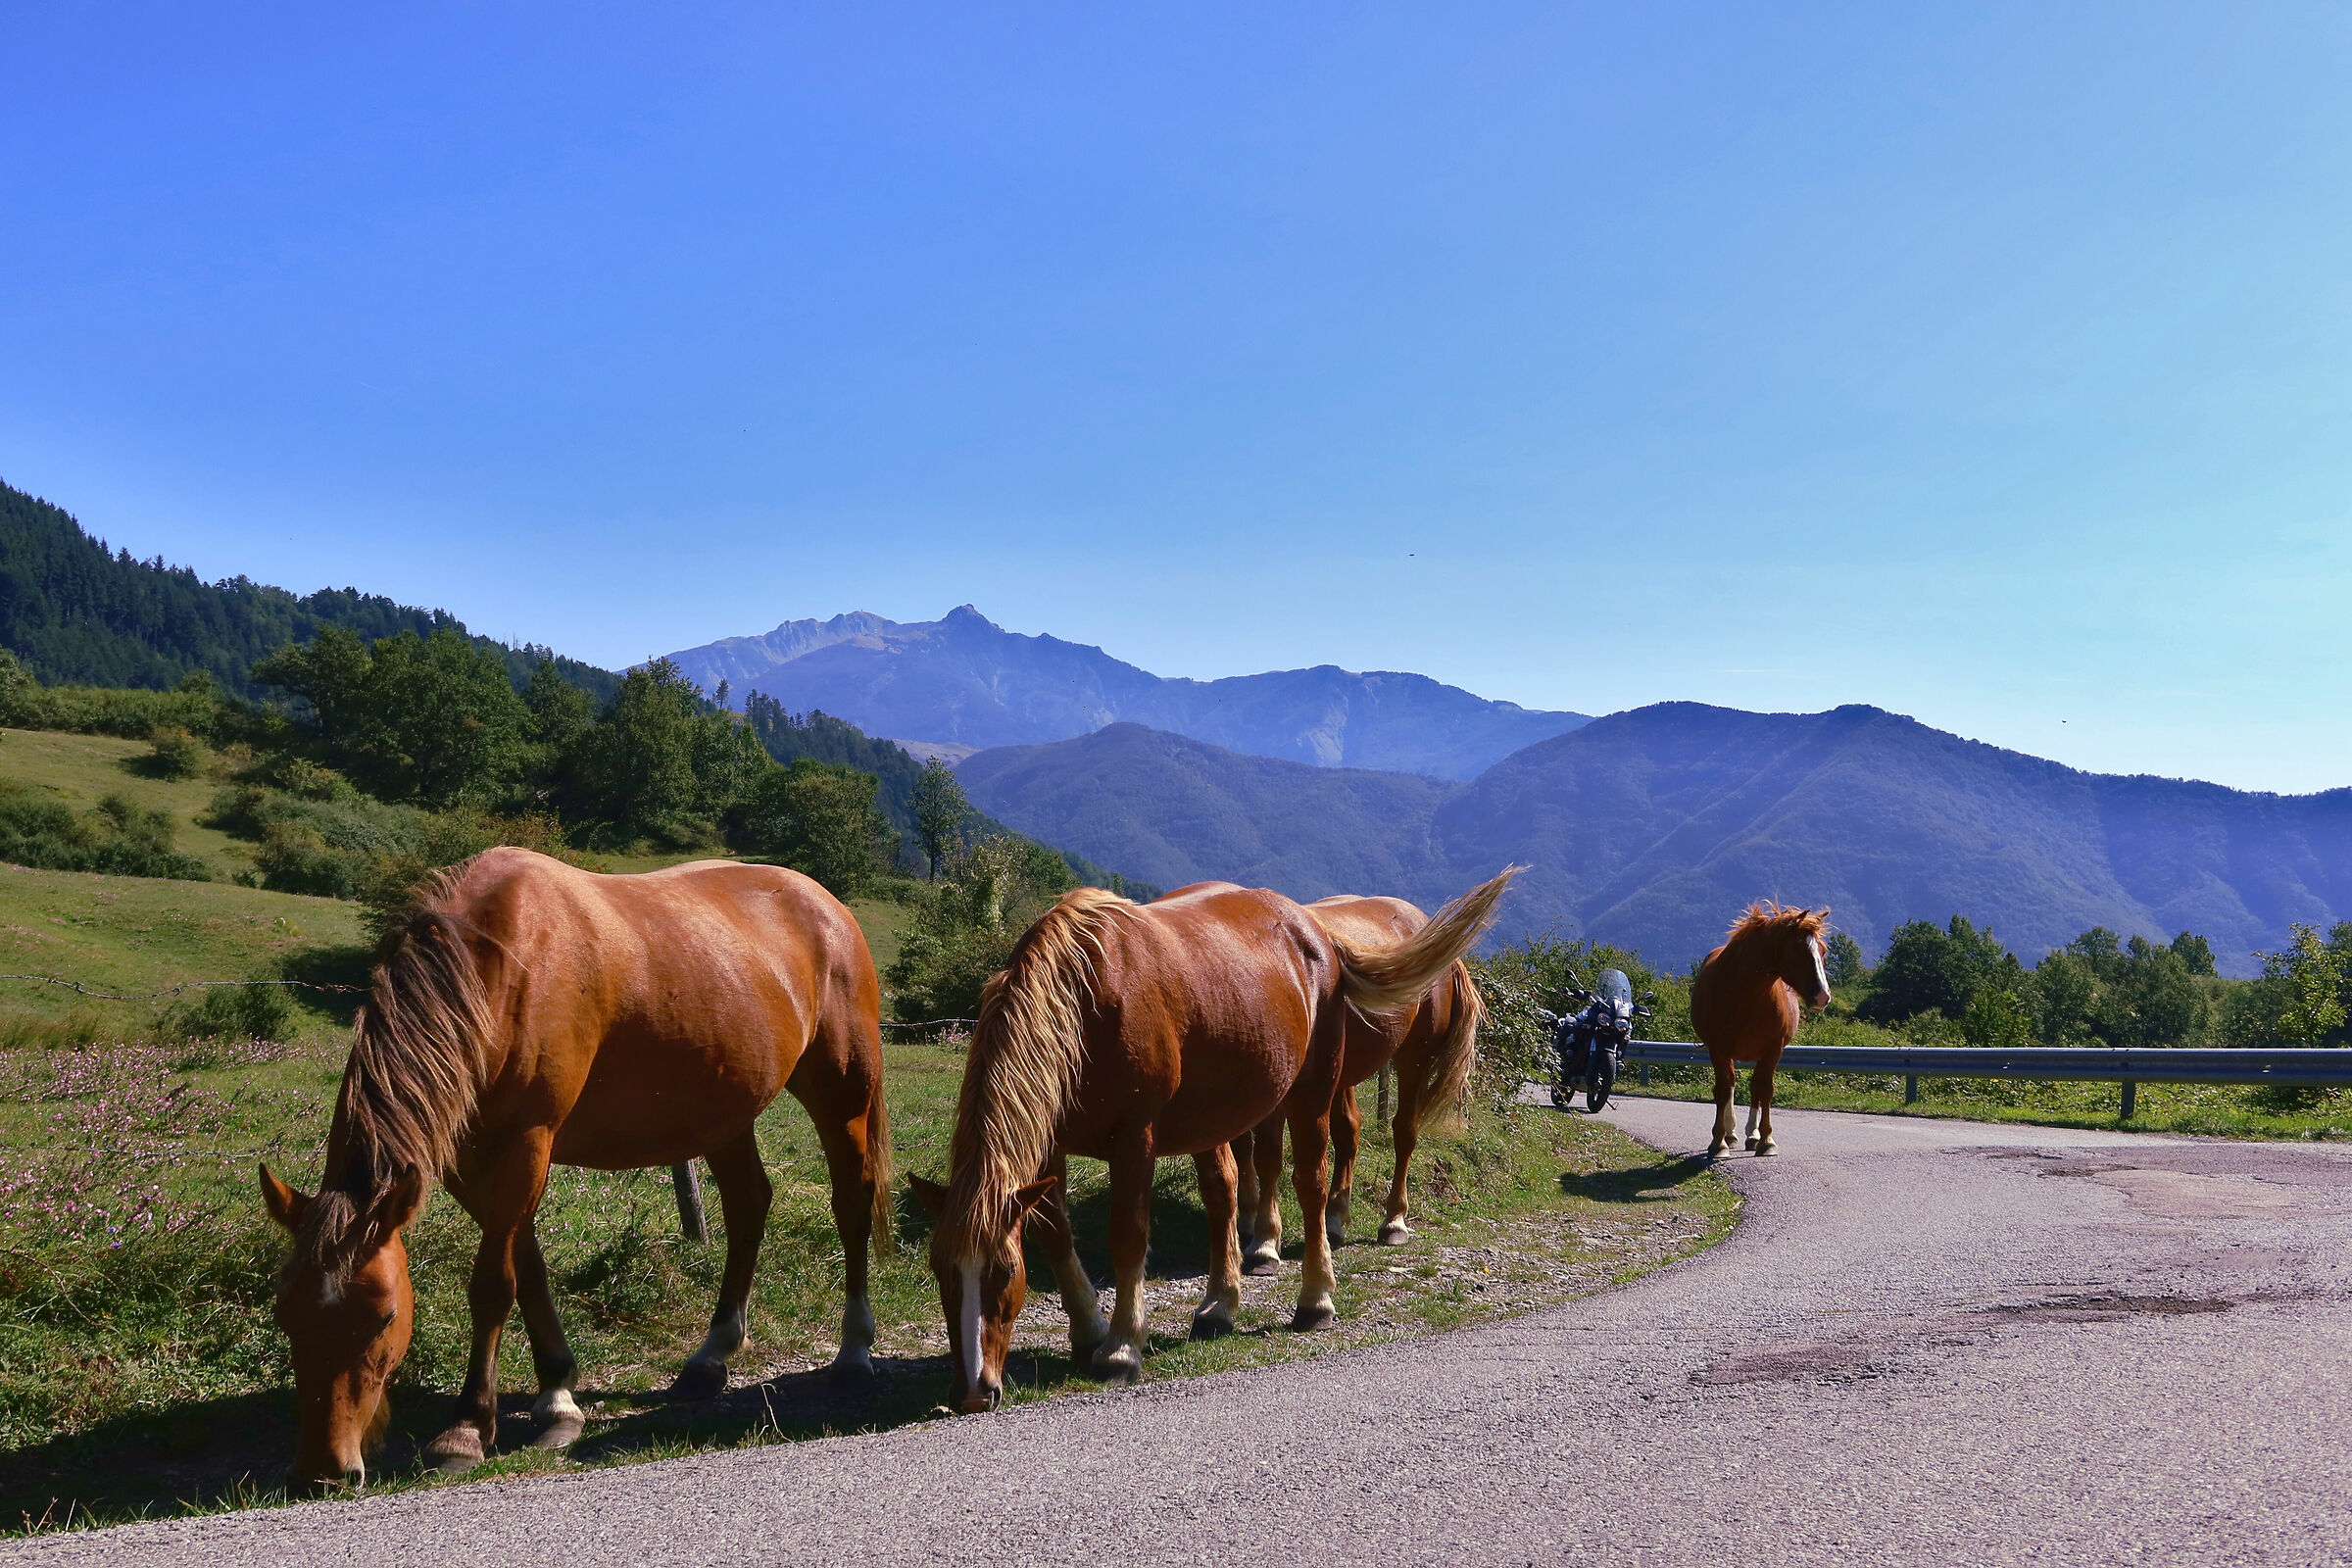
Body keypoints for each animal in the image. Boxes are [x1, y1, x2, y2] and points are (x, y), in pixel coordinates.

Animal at [256, 847, 891, 1488]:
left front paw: (467, 1428)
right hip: (723, 1111)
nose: (322, 1470)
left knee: (850, 1202)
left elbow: (493, 1284)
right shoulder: (469, 1161)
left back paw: (854, 1353)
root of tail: (826, 905)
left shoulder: (526, 1143)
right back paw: (711, 1357)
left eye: (384, 1318)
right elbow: (527, 1268)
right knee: (748, 1205)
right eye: (284, 1313)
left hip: (842, 1093)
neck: (496, 969)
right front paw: (556, 1394)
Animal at [1232, 894, 1483, 1261]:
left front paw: (1265, 1241)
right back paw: (1334, 1219)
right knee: (1349, 1130)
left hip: (1413, 1061)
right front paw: (1249, 1222)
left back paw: (1394, 1221)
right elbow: (1244, 1150)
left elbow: (1268, 1156)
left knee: (1404, 1131)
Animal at [1688, 902, 1833, 1157]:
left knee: (1754, 1088)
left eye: (1823, 951)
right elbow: (1723, 1089)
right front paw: (1718, 1142)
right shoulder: (1718, 1048)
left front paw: (1766, 1140)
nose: (1822, 996)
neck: (1746, 993)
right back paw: (1730, 1133)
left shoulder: (1773, 1049)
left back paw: (1752, 1135)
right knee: (1731, 1084)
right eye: (1799, 950)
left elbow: (1764, 1089)